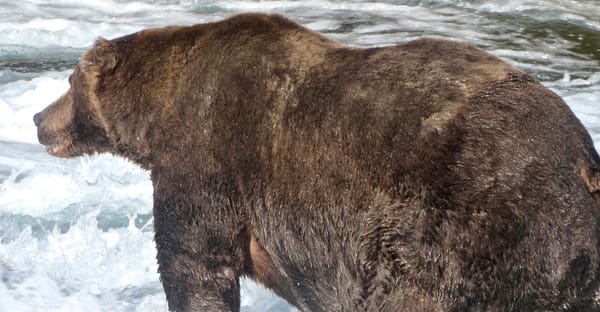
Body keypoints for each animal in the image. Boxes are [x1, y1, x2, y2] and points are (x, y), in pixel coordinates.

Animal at [34, 12, 600, 312]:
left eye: (68, 82)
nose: (39, 118)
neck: (157, 115)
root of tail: (583, 160)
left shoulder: (206, 158)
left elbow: (194, 262)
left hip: (465, 220)